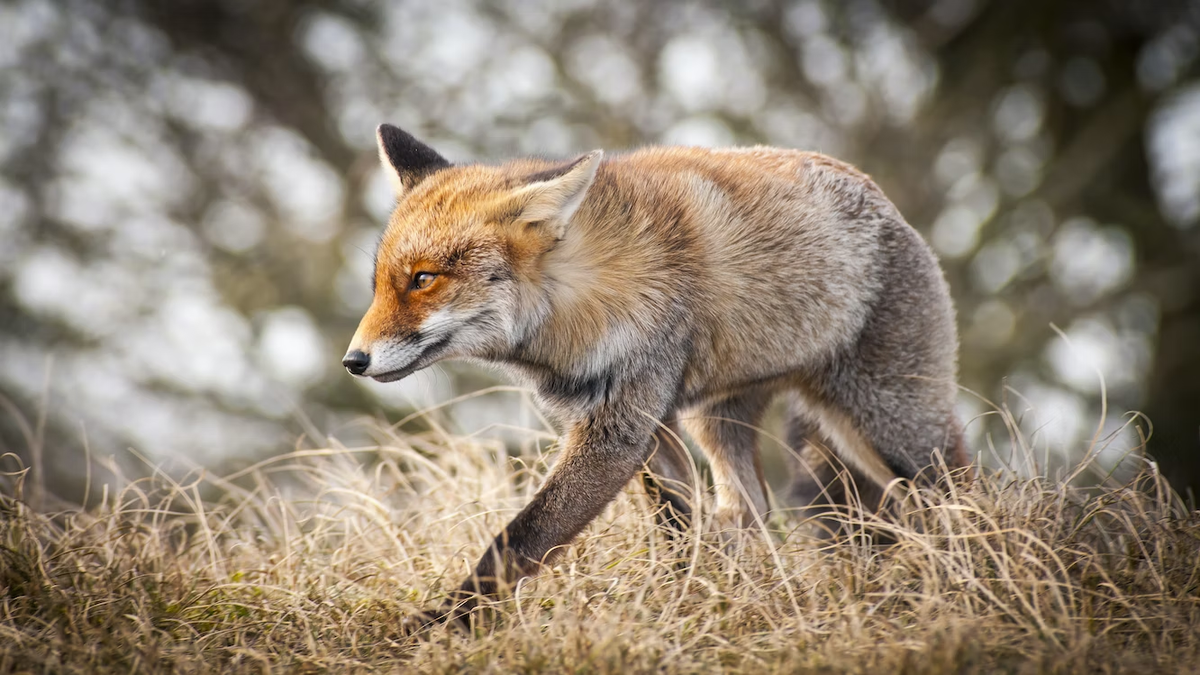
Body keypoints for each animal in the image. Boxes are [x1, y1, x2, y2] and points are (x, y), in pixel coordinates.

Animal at [340, 123, 964, 624]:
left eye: (423, 279)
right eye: (380, 285)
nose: (353, 361)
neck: (576, 301)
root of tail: (883, 201)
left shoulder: (620, 427)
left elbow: (518, 537)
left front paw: (446, 623)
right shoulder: (645, 422)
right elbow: (675, 529)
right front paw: (680, 600)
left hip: (896, 428)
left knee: (958, 495)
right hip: (723, 421)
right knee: (748, 514)